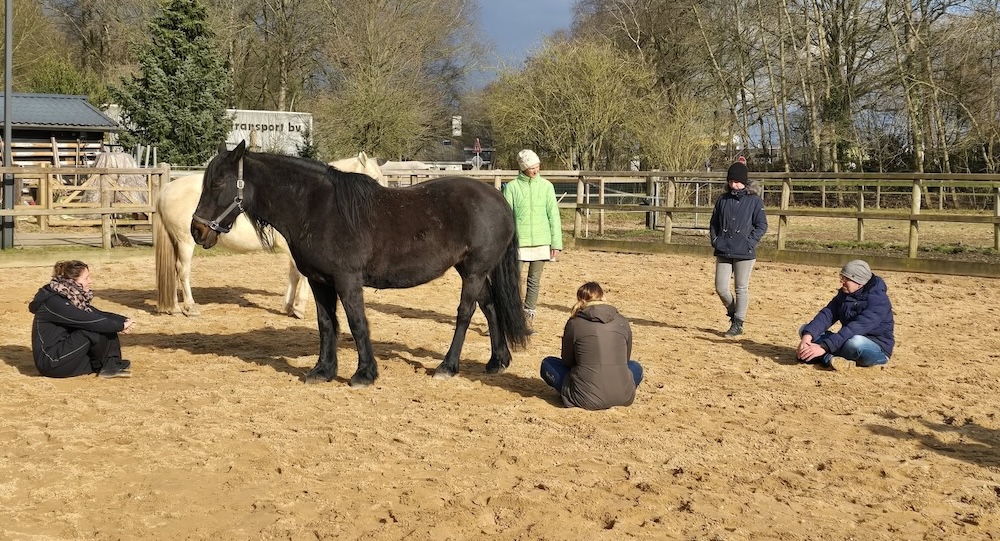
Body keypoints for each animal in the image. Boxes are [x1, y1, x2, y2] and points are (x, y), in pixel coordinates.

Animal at [154, 152, 382, 318]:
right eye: (374, 178)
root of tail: (166, 188)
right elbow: (301, 274)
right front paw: (298, 307)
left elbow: (294, 274)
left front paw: (289, 305)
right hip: (186, 241)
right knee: (182, 270)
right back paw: (190, 307)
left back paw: (174, 307)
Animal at [191, 141, 529, 387]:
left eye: (218, 183)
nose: (197, 230)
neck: (316, 209)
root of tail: (498, 199)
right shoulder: (319, 281)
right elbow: (327, 323)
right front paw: (323, 371)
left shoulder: (347, 280)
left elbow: (356, 323)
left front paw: (364, 373)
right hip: (471, 270)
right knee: (491, 306)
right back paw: (497, 361)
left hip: (474, 271)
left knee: (465, 313)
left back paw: (448, 366)